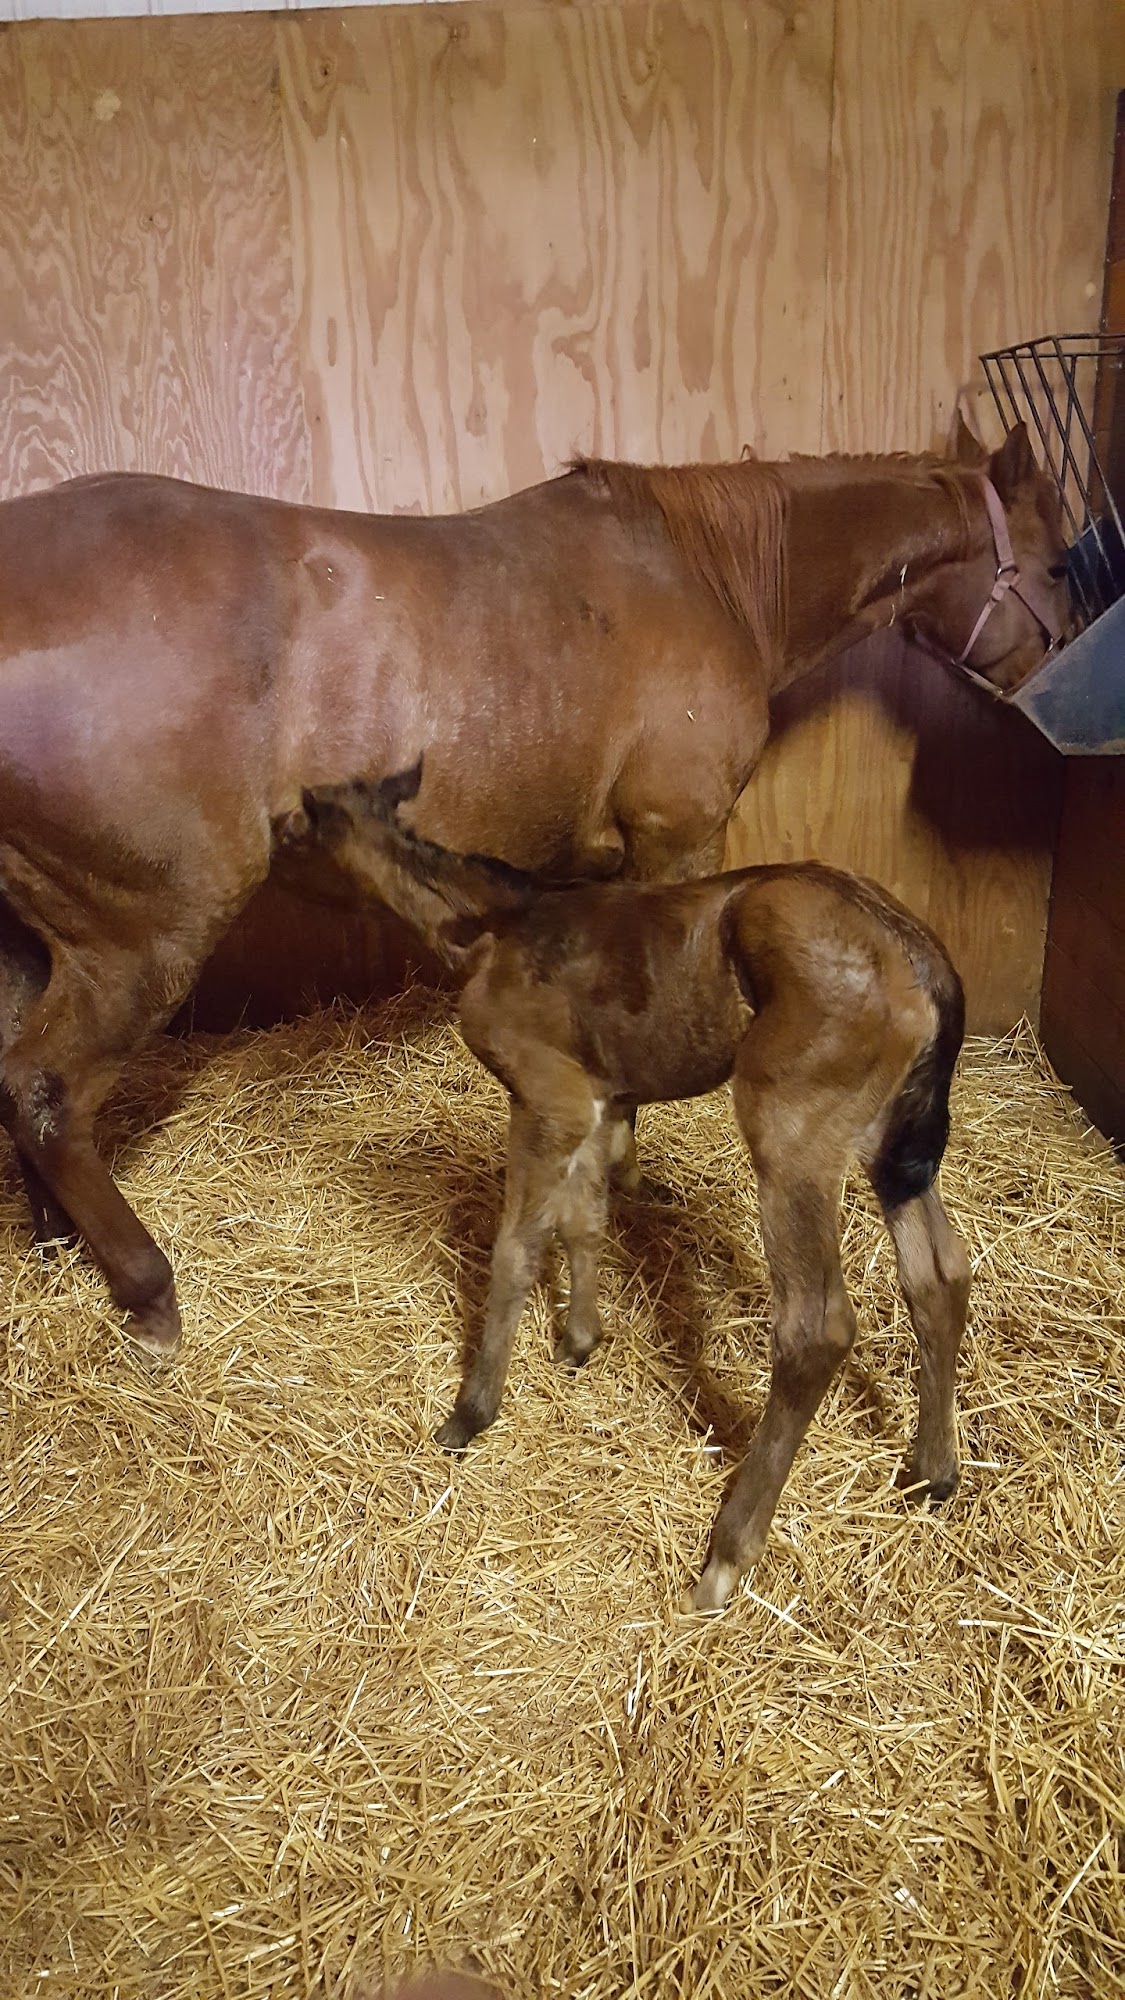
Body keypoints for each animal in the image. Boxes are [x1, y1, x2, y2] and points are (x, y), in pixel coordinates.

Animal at [0, 419, 1064, 1358]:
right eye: (1058, 565)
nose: (1041, 685)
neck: (703, 575)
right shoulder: (675, 843)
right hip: (141, 937)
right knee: (46, 1091)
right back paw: (147, 1291)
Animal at [299, 760, 970, 1612]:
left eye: (297, 830)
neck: (493, 925)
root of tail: (921, 962)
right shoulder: (600, 1093)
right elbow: (585, 1218)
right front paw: (580, 1340)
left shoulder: (546, 1094)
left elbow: (515, 1248)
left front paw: (471, 1411)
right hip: (892, 1140)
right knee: (937, 1274)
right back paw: (931, 1471)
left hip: (792, 1127)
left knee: (816, 1324)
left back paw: (724, 1557)